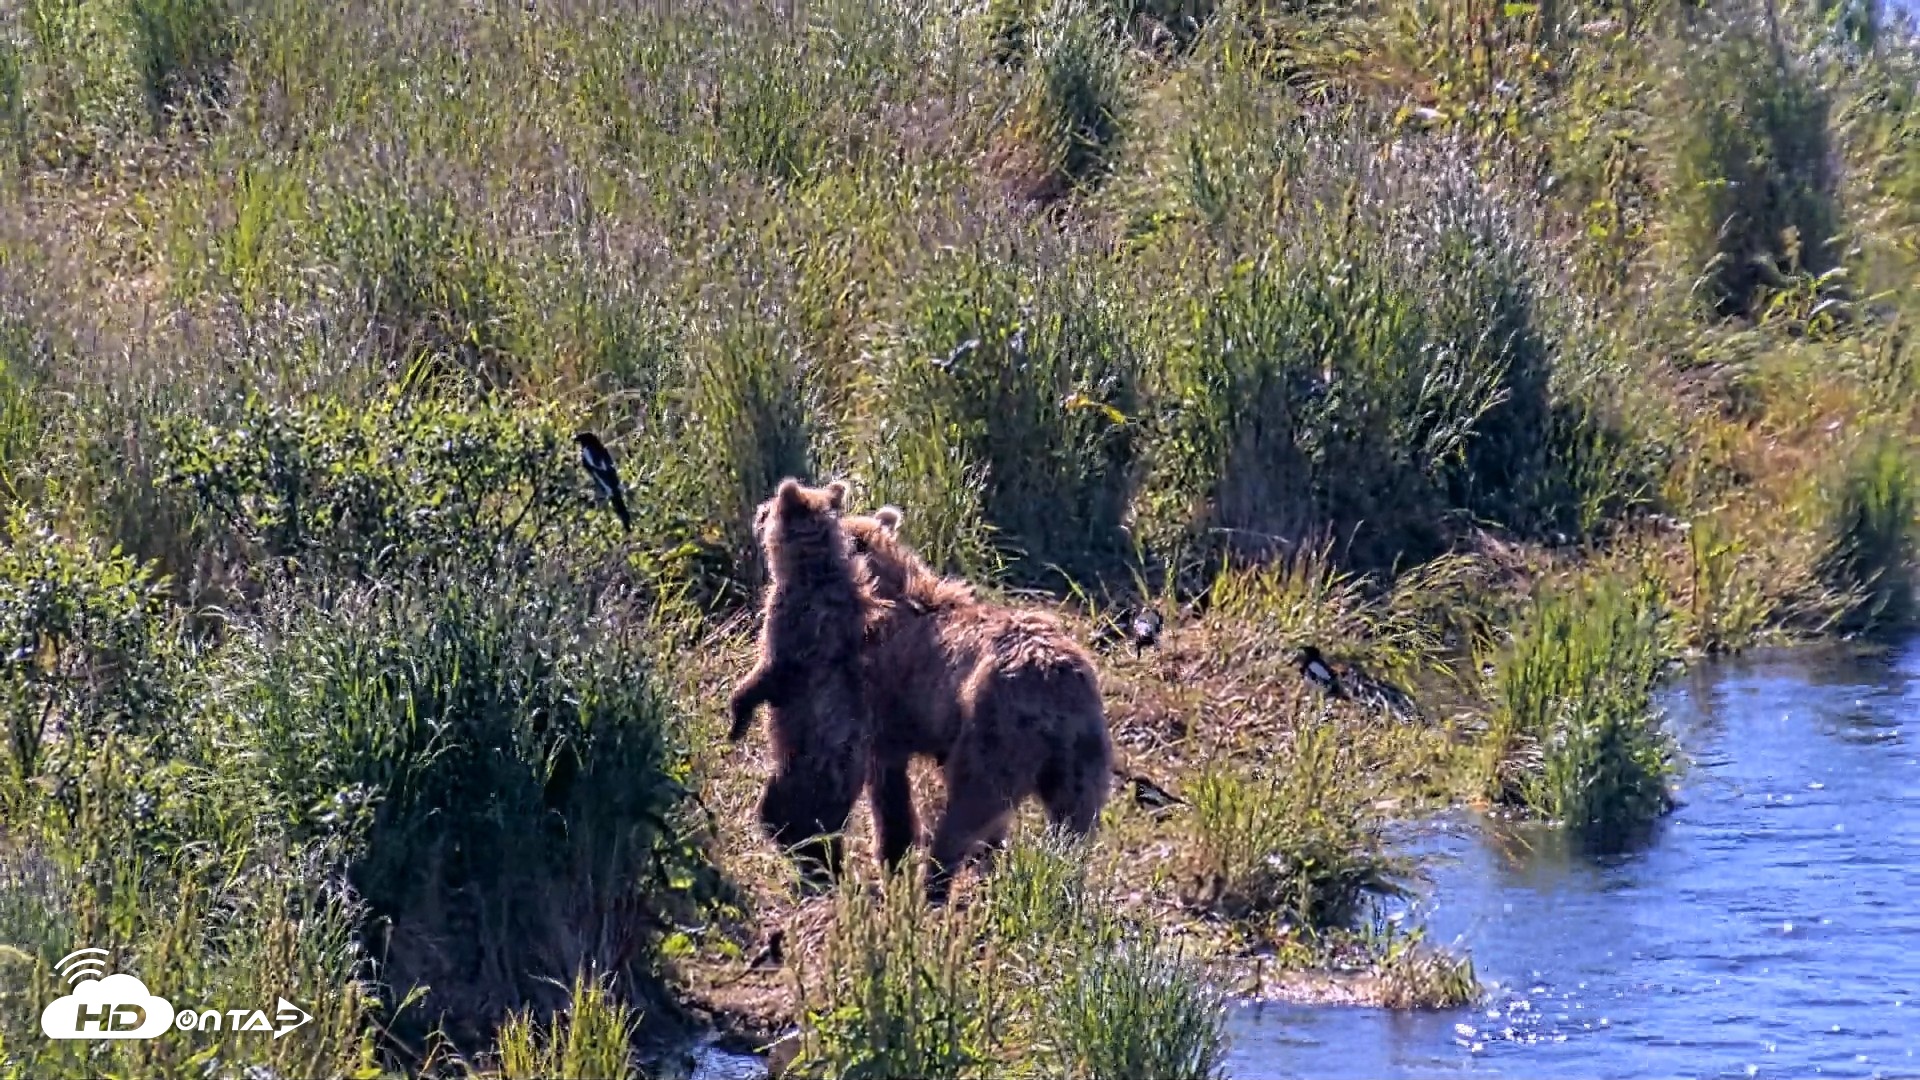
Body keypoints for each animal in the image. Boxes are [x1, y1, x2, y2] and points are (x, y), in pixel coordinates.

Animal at [726, 478, 875, 888]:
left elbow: (767, 674)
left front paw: (737, 718)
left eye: (767, 508)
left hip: (800, 774)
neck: (811, 569)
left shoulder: (793, 627)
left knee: (779, 811)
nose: (756, 511)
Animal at [840, 505, 1114, 904]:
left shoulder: (888, 698)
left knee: (967, 807)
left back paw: (935, 884)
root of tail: (1053, 691)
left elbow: (887, 785)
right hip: (1082, 750)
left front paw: (892, 854)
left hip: (996, 731)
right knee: (1075, 819)